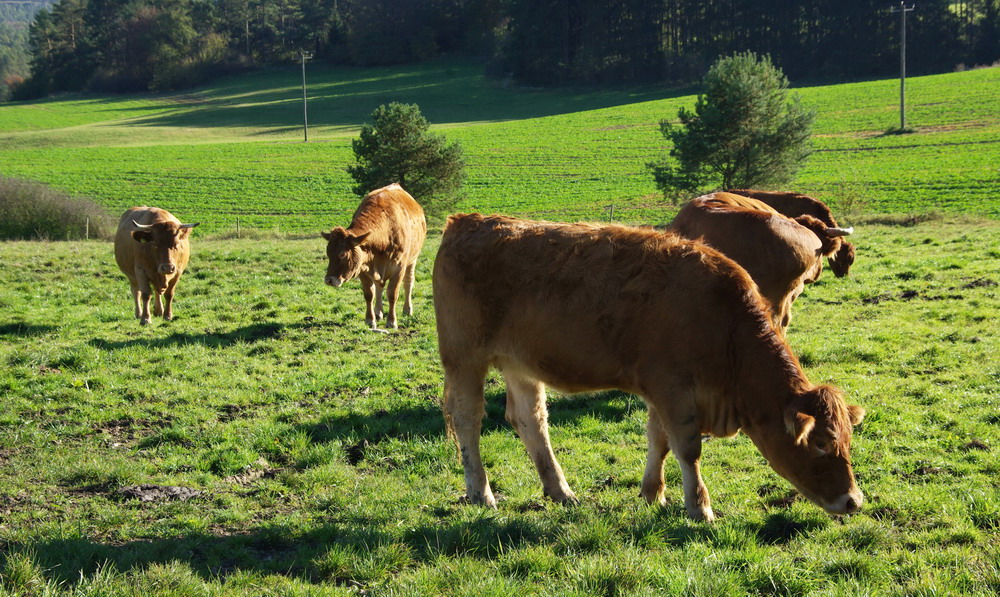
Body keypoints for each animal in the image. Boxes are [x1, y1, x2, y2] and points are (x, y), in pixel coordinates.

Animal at [324, 183, 426, 328]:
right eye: (328, 253)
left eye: (343, 254)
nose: (329, 280)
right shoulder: (362, 268)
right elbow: (369, 294)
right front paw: (370, 319)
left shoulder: (399, 268)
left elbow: (392, 294)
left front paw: (392, 321)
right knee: (379, 286)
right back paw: (378, 312)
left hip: (413, 259)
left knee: (408, 282)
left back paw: (407, 309)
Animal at [434, 212, 864, 520]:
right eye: (821, 444)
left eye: (846, 442)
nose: (854, 501)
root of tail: (466, 222)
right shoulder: (673, 389)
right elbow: (687, 449)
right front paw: (699, 507)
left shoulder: (663, 391)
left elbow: (659, 440)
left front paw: (652, 493)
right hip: (465, 358)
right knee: (468, 421)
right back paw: (481, 493)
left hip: (519, 364)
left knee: (530, 421)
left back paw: (561, 491)